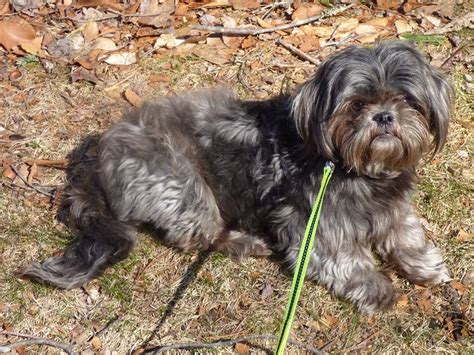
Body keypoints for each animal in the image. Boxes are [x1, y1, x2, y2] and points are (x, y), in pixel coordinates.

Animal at [21, 41, 456, 314]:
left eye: (406, 100)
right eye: (357, 105)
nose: (384, 116)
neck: (359, 169)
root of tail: (97, 158)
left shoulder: (392, 205)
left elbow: (406, 232)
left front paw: (423, 263)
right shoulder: (314, 230)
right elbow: (345, 262)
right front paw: (378, 288)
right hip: (183, 188)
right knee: (196, 235)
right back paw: (246, 241)